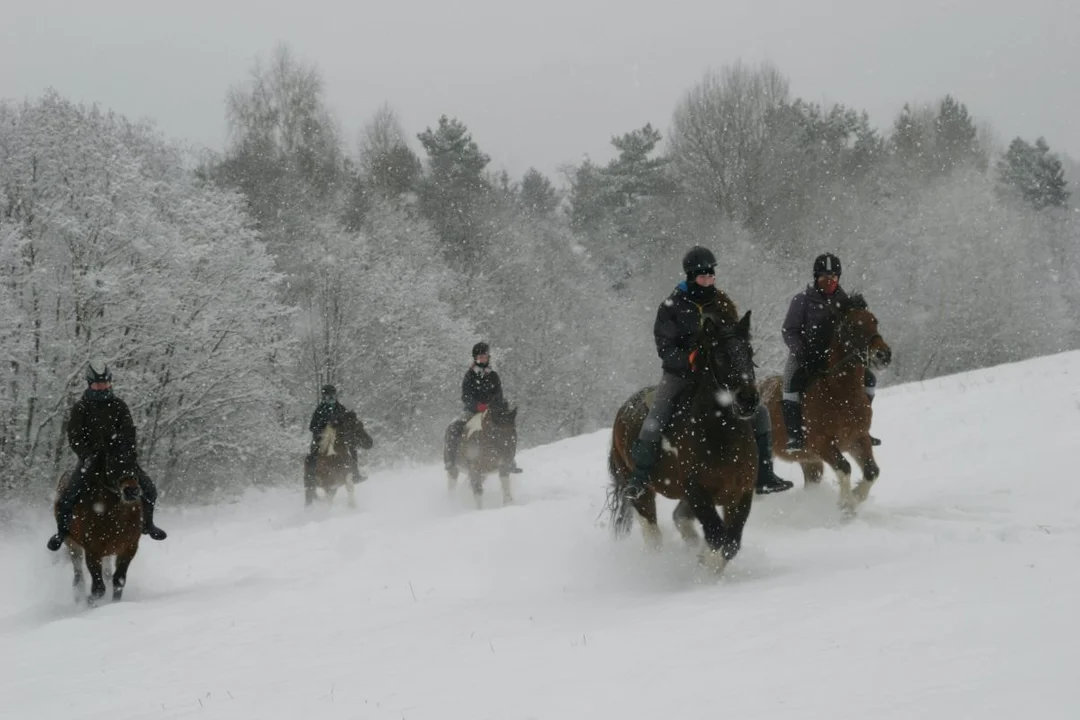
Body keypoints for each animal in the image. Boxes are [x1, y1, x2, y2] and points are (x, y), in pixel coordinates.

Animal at [54, 453, 143, 604]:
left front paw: (114, 604)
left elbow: (118, 580)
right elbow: (98, 588)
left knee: (107, 574)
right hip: (72, 544)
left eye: (134, 456)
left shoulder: (129, 548)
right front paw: (90, 602)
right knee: (78, 578)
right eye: (112, 460)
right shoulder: (93, 551)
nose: (132, 491)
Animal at [609, 310, 760, 574]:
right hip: (639, 491)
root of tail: (622, 411)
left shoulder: (740, 493)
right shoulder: (698, 492)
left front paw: (706, 564)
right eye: (720, 355)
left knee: (680, 520)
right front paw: (706, 570)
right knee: (653, 535)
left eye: (749, 351)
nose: (748, 400)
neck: (721, 437)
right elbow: (717, 537)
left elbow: (730, 543)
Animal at [760, 293, 894, 511]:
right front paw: (846, 504)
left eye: (874, 320)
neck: (841, 393)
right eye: (851, 325)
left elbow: (872, 471)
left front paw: (855, 500)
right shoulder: (821, 443)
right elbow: (844, 467)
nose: (883, 354)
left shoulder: (859, 439)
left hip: (810, 462)